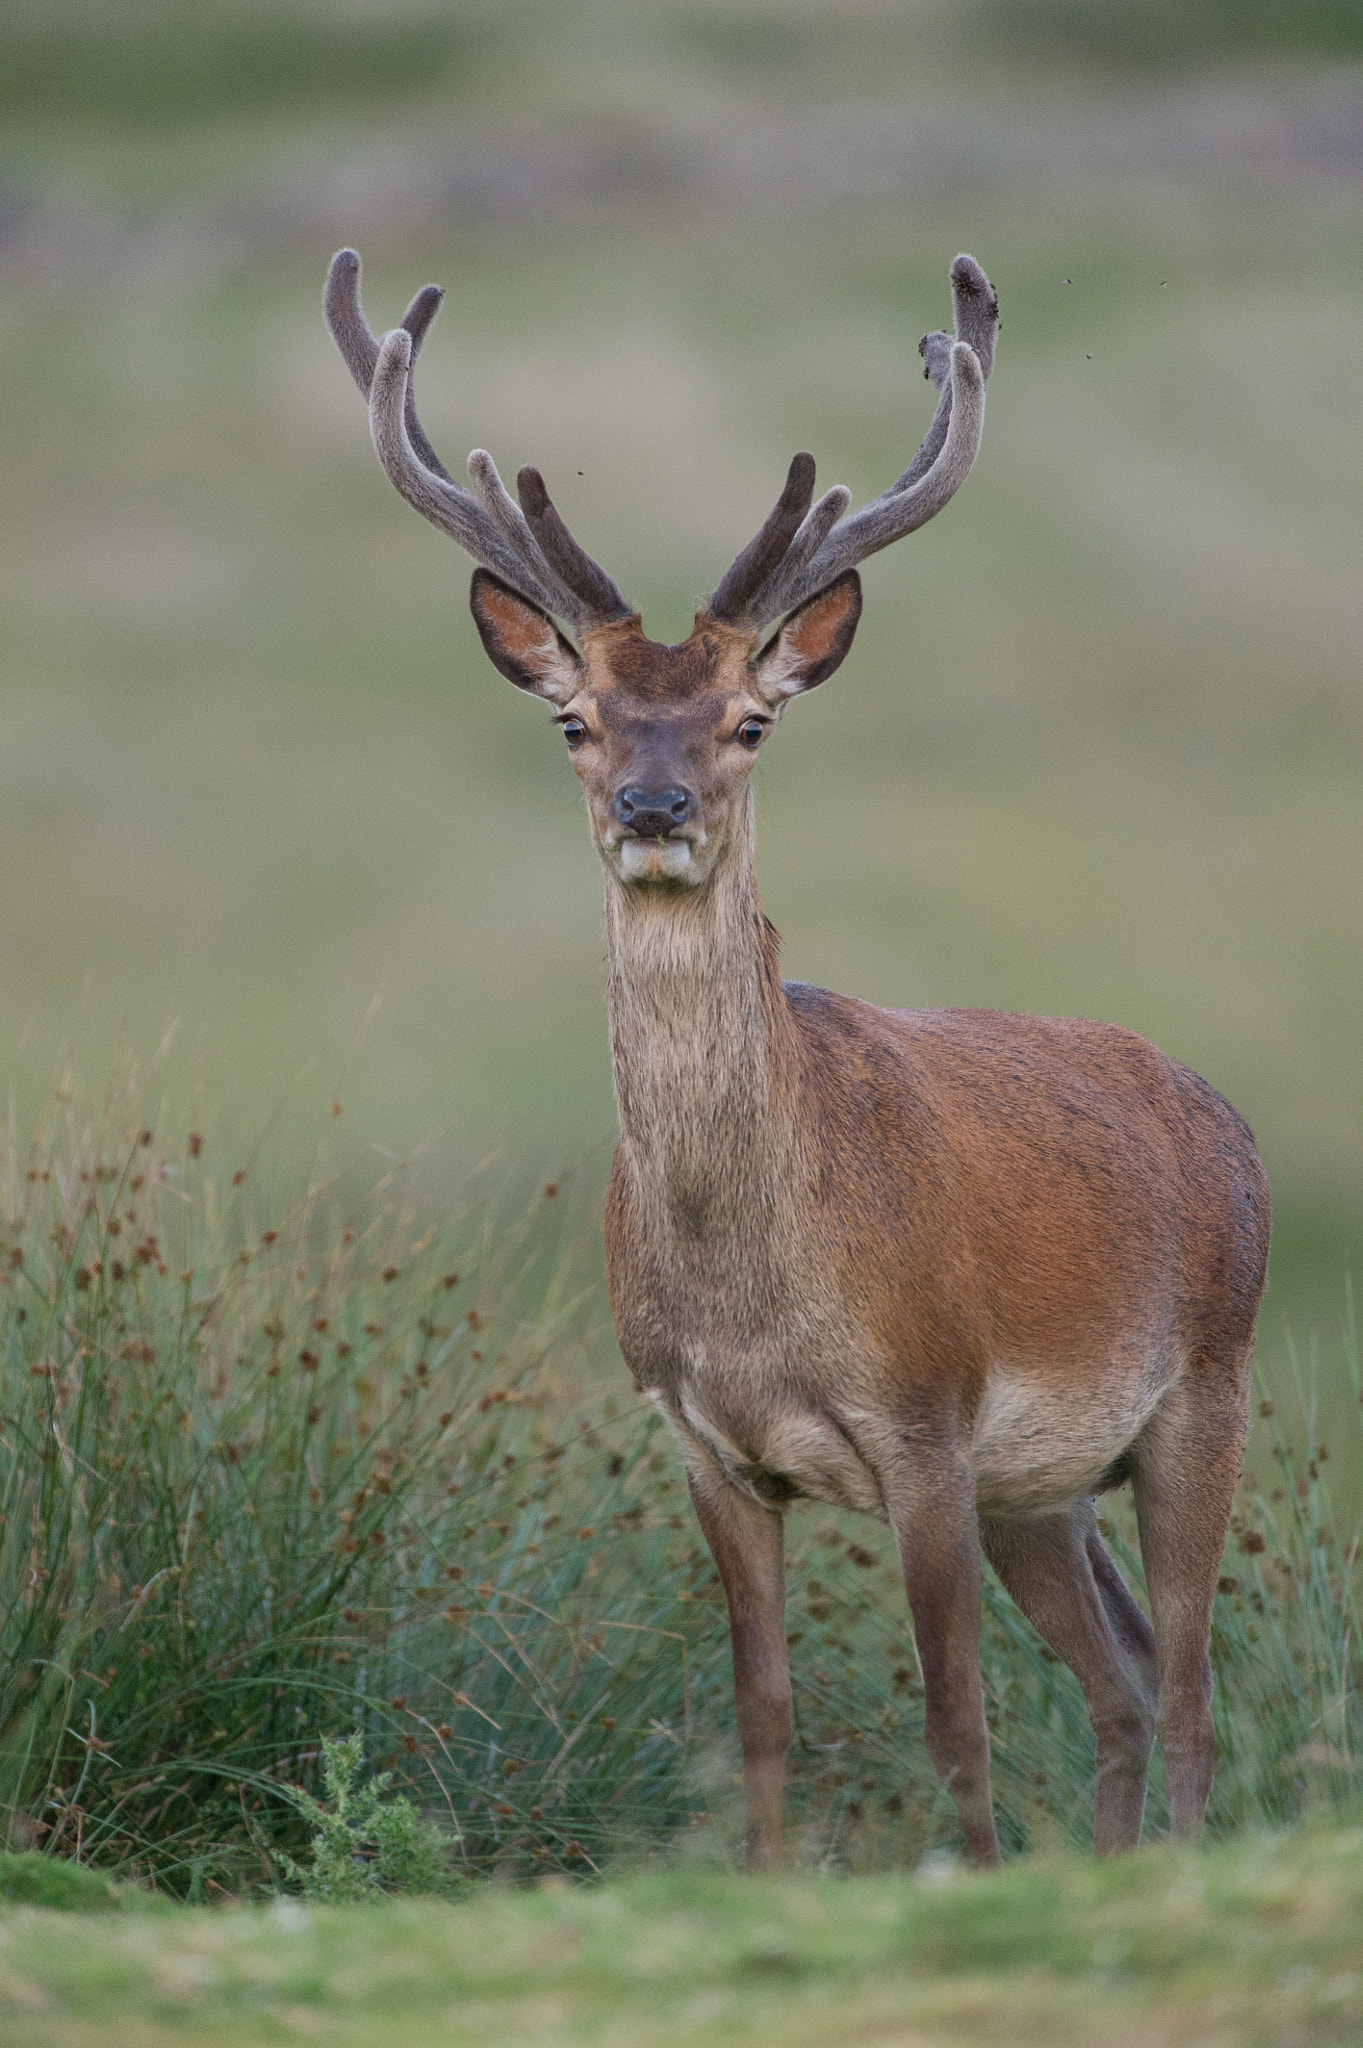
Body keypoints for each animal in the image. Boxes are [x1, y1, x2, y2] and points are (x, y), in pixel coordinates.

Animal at [325, 245, 1270, 1868]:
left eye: (749, 720)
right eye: (574, 721)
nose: (651, 807)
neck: (759, 1289)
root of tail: (1223, 1116)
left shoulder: (924, 1417)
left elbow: (952, 1714)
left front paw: (969, 1874)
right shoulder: (702, 1438)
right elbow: (760, 1708)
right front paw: (769, 1881)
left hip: (1204, 1380)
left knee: (1198, 1680)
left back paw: (1171, 1861)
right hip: (1048, 1488)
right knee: (1130, 1677)